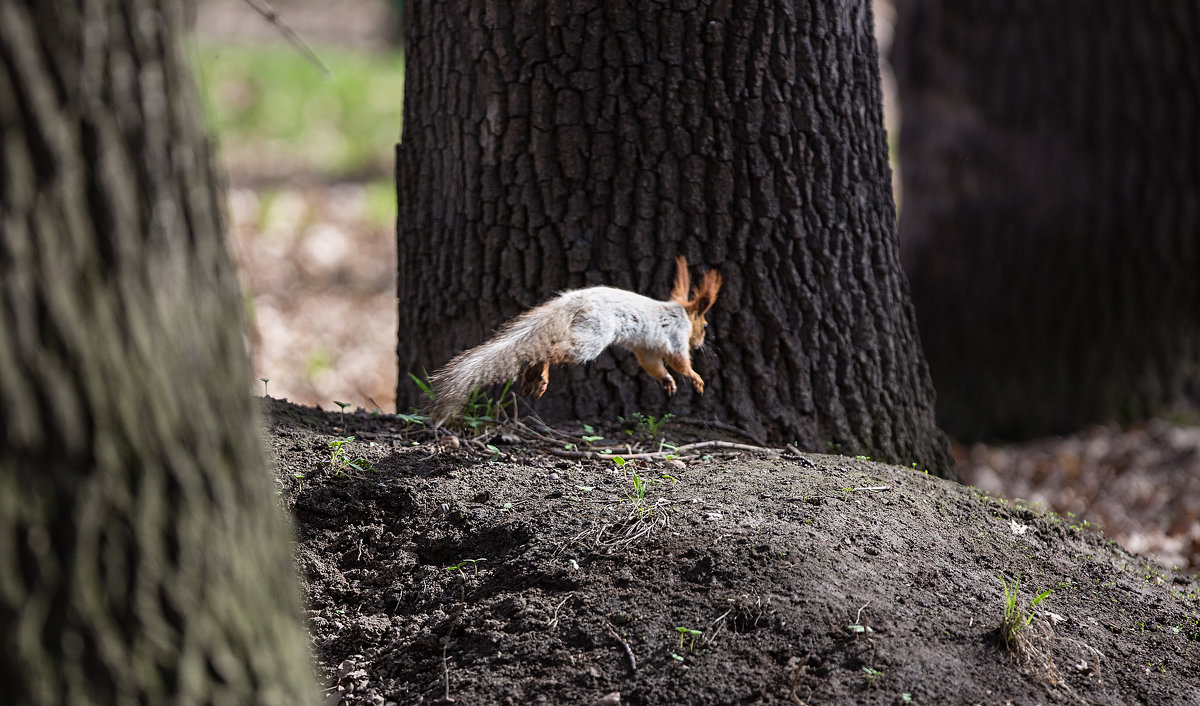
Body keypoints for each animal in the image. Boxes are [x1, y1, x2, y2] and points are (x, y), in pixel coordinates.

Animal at [432, 259, 720, 425]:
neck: (680, 312)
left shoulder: (646, 348)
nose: (702, 342)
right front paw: (695, 378)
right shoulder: (676, 338)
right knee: (552, 351)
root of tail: (574, 300)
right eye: (705, 326)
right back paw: (541, 375)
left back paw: (533, 377)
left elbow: (654, 366)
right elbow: (679, 361)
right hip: (592, 337)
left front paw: (667, 381)